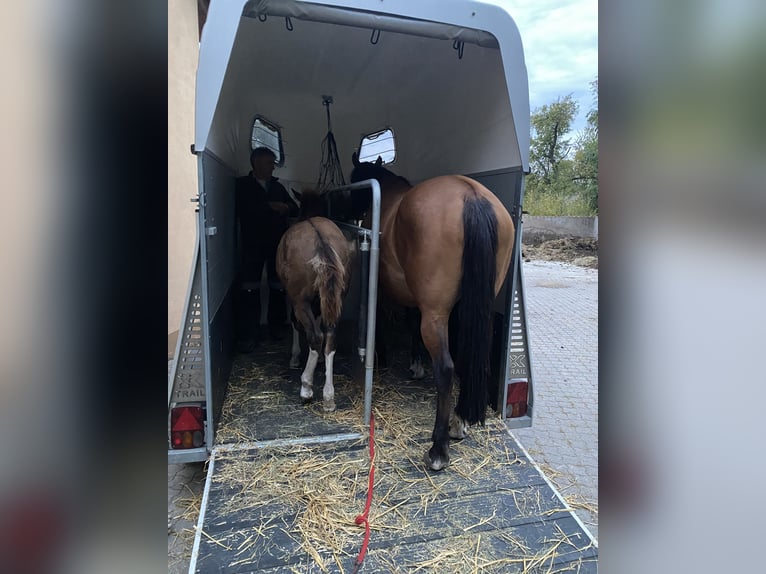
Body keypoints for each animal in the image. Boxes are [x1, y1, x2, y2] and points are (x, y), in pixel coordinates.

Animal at [275, 190, 356, 412]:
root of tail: (321, 241)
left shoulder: (292, 297)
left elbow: (295, 323)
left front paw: (295, 357)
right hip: (337, 297)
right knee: (330, 336)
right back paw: (329, 396)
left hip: (300, 301)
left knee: (316, 336)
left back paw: (306, 388)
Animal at [350, 154, 515, 471]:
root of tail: (471, 196)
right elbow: (411, 322)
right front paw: (415, 364)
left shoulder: (387, 291)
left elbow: (387, 322)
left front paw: (383, 357)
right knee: (468, 360)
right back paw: (459, 423)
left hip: (436, 315)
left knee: (447, 369)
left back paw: (438, 448)